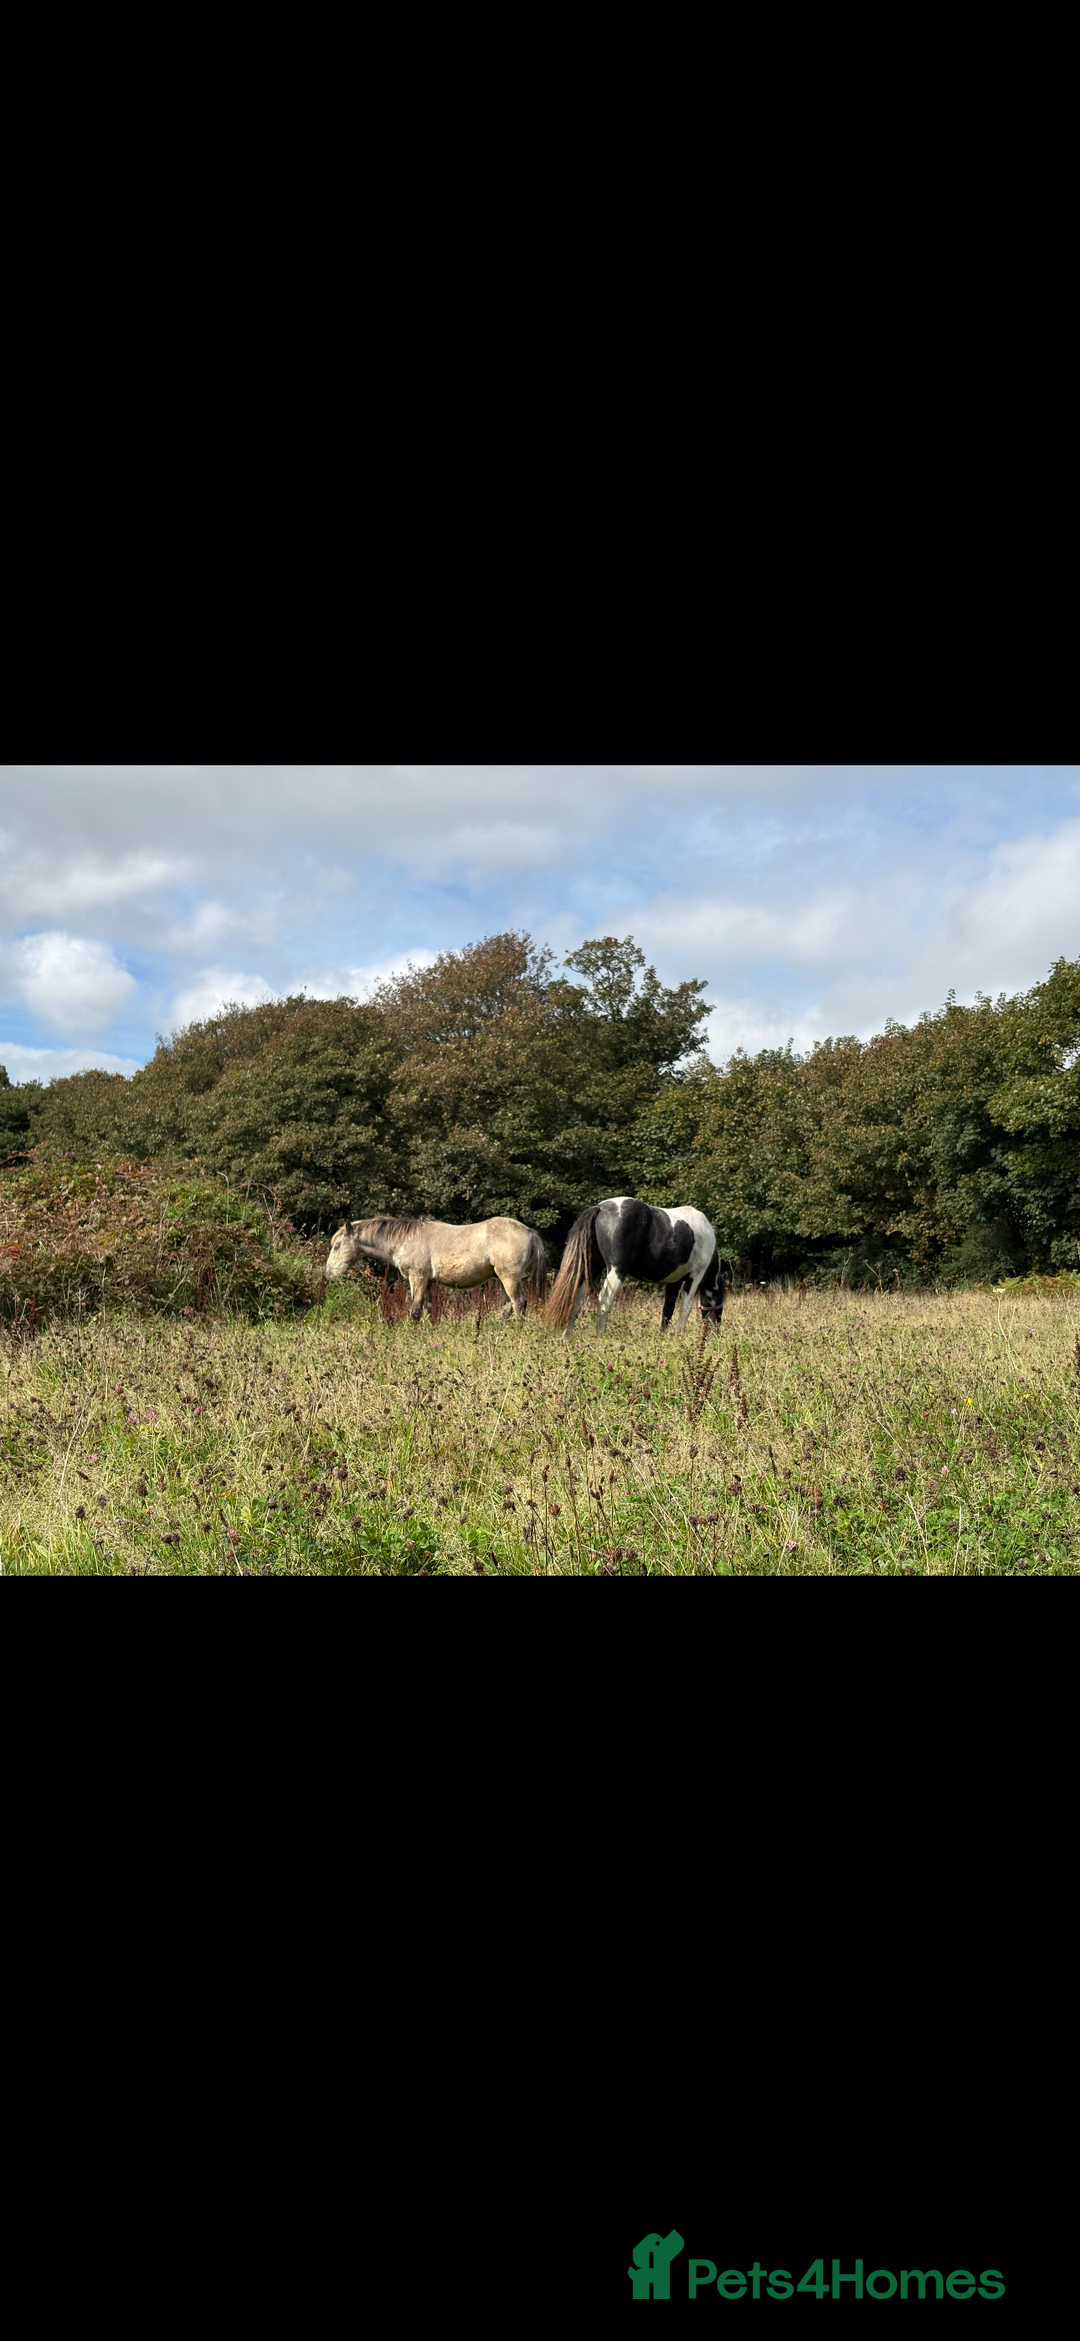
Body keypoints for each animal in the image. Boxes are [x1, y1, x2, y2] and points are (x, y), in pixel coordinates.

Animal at [324, 1214, 548, 1321]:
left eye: (337, 1246)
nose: (328, 1274)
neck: (406, 1240)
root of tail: (528, 1231)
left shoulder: (417, 1277)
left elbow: (415, 1310)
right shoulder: (429, 1282)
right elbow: (430, 1310)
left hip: (509, 1278)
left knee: (519, 1304)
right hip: (501, 1279)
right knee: (507, 1308)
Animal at [546, 1196, 722, 1334]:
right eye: (719, 1296)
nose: (716, 1332)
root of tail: (601, 1208)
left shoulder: (674, 1282)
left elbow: (668, 1309)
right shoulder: (695, 1276)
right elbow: (685, 1308)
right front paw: (679, 1336)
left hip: (590, 1268)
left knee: (576, 1298)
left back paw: (567, 1337)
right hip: (616, 1270)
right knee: (604, 1300)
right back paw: (600, 1336)